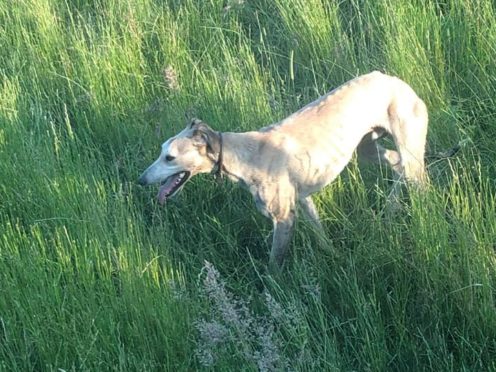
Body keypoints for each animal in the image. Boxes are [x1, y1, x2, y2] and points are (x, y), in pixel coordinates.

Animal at [138, 72, 428, 270]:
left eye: (169, 157)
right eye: (161, 151)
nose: (140, 180)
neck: (246, 154)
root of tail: (394, 80)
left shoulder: (284, 219)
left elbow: (273, 267)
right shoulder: (302, 199)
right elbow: (320, 233)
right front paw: (333, 255)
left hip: (410, 152)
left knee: (417, 179)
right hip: (368, 149)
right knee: (396, 162)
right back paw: (389, 213)